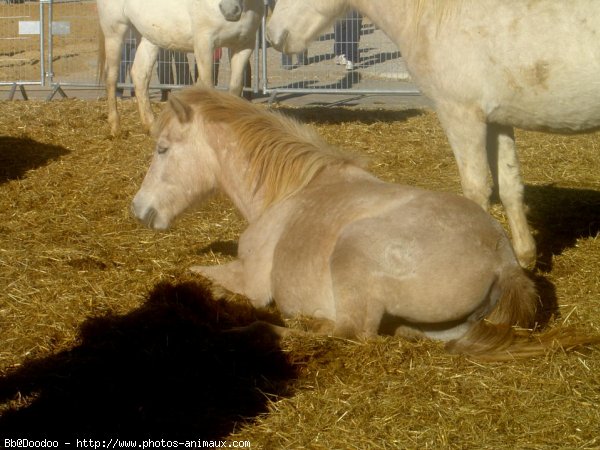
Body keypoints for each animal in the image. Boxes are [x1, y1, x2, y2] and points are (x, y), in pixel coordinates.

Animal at [96, 0, 262, 135]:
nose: (230, 10)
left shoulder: (244, 46)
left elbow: (235, 88)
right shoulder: (204, 44)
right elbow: (208, 86)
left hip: (148, 37)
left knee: (140, 75)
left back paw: (151, 126)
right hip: (115, 31)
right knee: (111, 77)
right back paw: (115, 127)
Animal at [132, 88, 600, 360]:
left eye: (162, 149)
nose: (140, 209)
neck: (289, 192)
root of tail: (503, 262)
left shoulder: (250, 280)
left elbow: (197, 273)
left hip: (352, 252)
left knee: (347, 334)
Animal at [268, 0, 600, 268]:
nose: (272, 36)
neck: (436, 15)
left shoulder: (461, 115)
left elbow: (476, 190)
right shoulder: (496, 120)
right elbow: (510, 188)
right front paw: (525, 259)